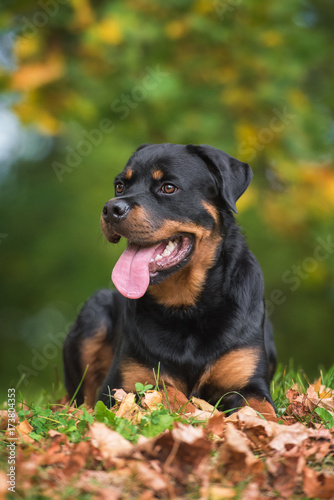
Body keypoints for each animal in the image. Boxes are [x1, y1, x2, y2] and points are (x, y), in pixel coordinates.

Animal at [62, 143, 276, 416]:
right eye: (120, 186)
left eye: (169, 187)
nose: (111, 209)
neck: (187, 308)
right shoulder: (120, 386)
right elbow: (163, 390)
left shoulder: (249, 382)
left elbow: (263, 410)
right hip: (94, 315)